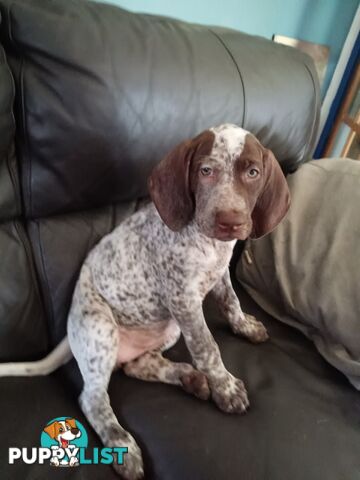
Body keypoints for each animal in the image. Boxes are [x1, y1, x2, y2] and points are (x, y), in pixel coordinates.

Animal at [0, 124, 288, 480]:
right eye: (205, 170)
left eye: (253, 173)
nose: (230, 221)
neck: (209, 245)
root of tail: (70, 334)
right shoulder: (184, 300)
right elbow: (207, 347)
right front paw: (225, 387)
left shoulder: (220, 276)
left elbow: (232, 303)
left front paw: (245, 326)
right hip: (102, 330)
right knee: (92, 398)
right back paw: (123, 444)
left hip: (168, 329)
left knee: (136, 365)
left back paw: (189, 377)